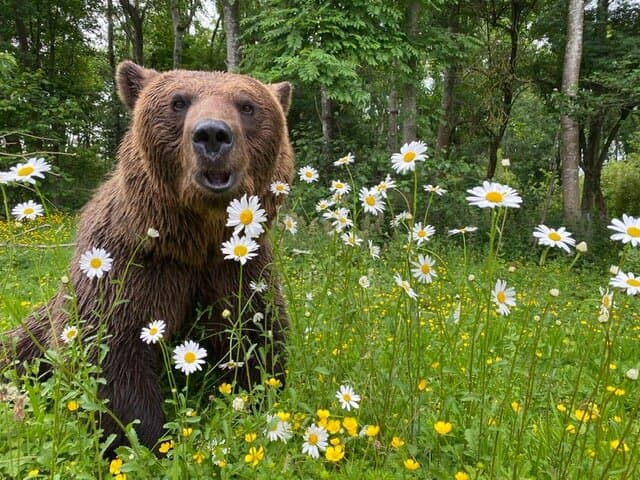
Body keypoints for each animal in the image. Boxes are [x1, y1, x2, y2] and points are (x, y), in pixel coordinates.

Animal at [0, 61, 293, 453]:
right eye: (178, 102)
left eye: (247, 106)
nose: (212, 135)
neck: (195, 240)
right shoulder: (130, 262)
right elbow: (110, 350)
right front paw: (149, 439)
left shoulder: (238, 268)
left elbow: (256, 336)